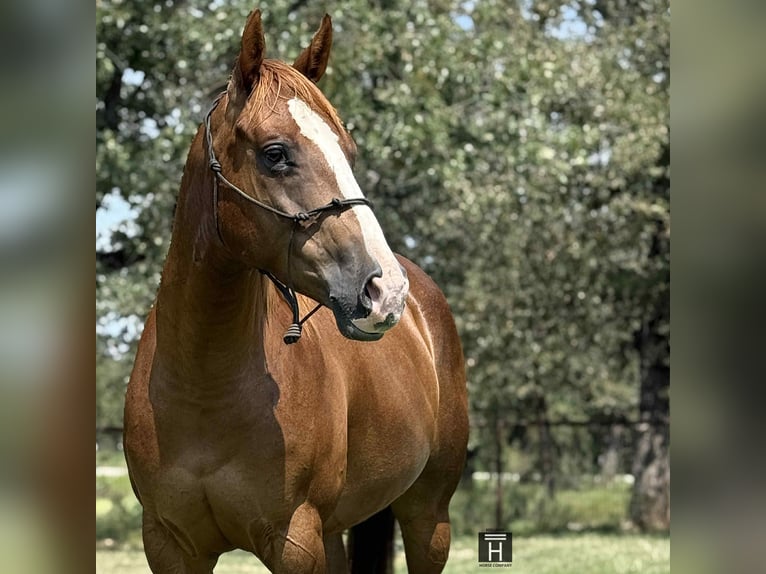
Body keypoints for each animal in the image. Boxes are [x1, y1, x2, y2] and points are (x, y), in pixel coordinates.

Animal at [124, 10, 468, 574]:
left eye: (348, 152)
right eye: (276, 154)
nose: (384, 290)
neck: (204, 389)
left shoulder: (295, 540)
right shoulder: (169, 543)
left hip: (428, 516)